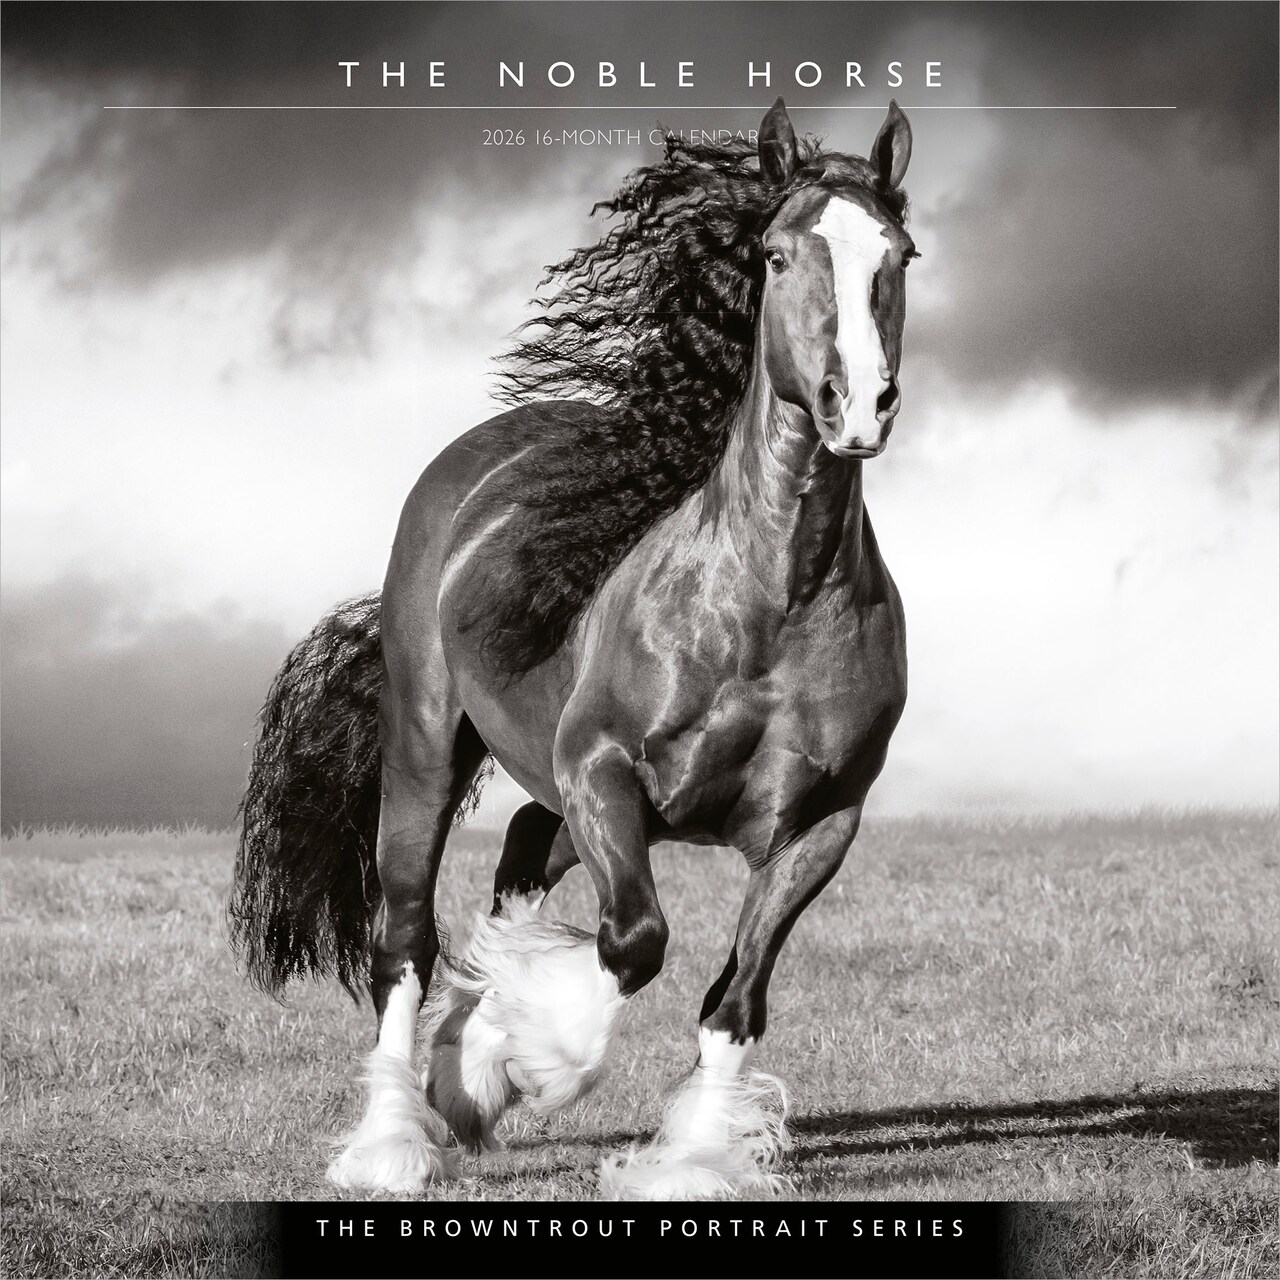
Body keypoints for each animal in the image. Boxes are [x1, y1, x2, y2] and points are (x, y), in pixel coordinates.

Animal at [229, 97, 916, 1200]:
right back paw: (393, 1138)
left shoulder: (821, 824)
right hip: (430, 749)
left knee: (517, 851)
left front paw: (689, 1156)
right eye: (773, 256)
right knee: (405, 937)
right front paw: (517, 1057)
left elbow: (735, 997)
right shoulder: (602, 770)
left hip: (549, 780)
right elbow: (634, 941)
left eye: (901, 254)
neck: (767, 606)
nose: (854, 403)